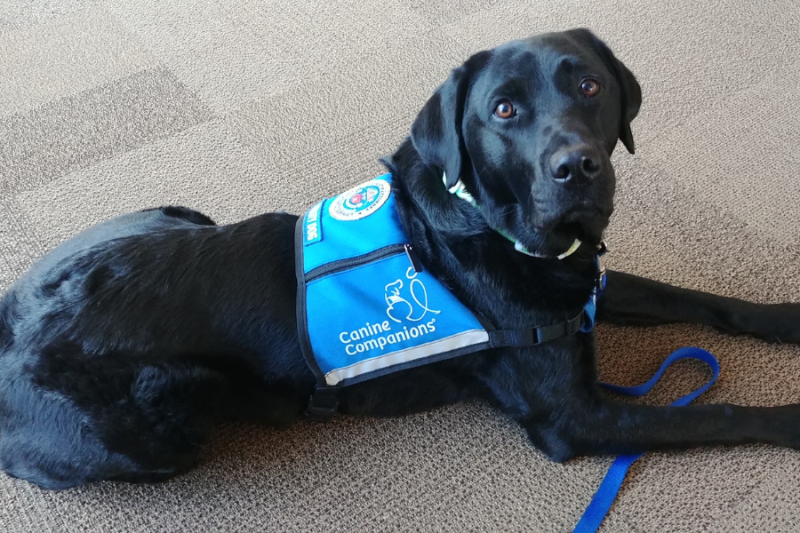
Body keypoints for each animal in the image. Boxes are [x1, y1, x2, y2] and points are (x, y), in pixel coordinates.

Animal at [1, 28, 800, 486]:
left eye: (589, 85)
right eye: (503, 110)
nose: (577, 167)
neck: (491, 224)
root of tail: (11, 322)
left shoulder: (588, 286)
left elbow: (690, 297)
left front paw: (784, 315)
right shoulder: (575, 418)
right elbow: (716, 414)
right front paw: (792, 418)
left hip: (174, 211)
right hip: (162, 432)